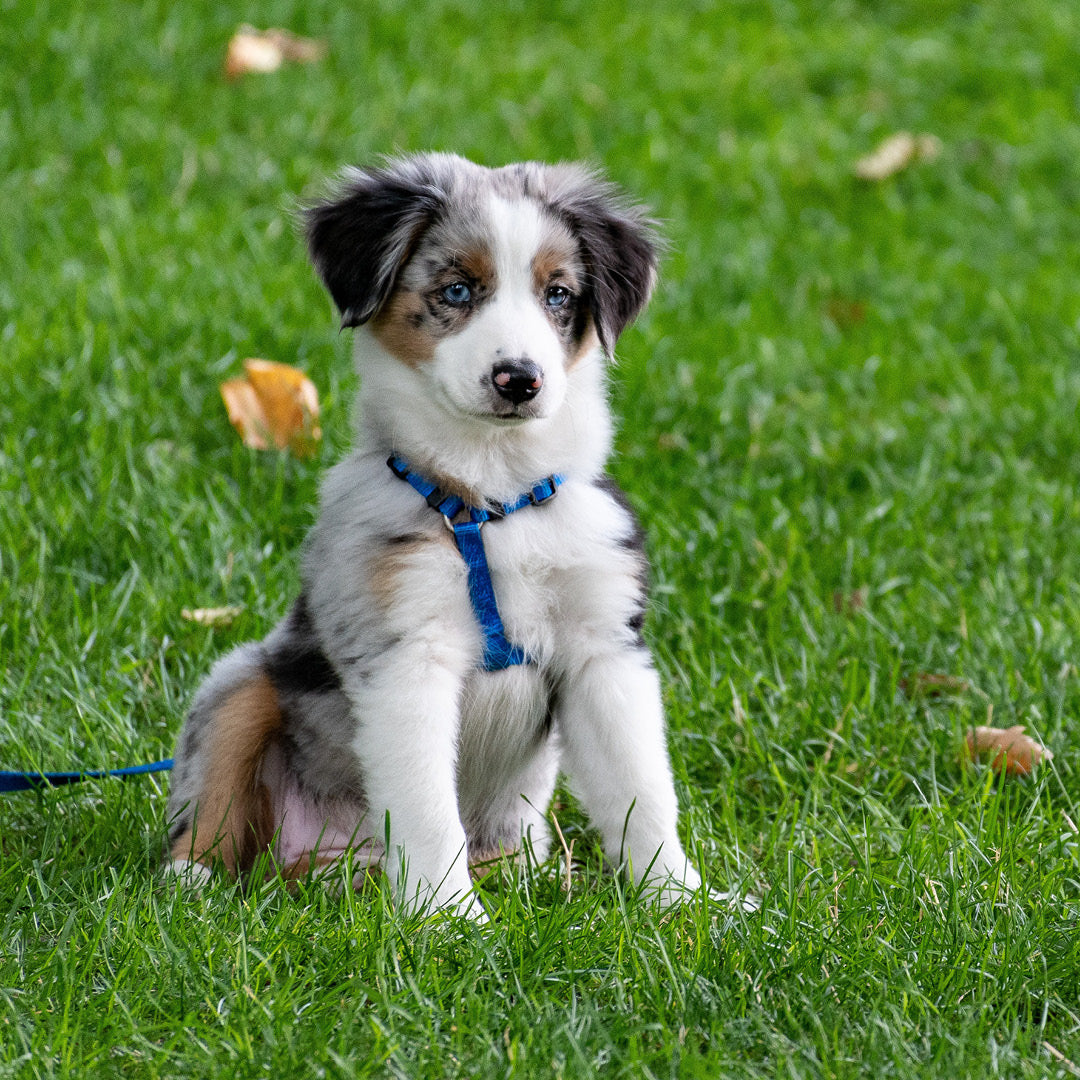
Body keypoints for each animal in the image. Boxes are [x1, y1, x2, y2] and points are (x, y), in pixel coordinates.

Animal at [164, 152, 708, 915]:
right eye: (457, 289)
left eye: (559, 294)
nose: (520, 379)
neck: (495, 499)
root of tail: (328, 864)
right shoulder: (405, 656)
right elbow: (425, 807)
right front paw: (449, 919)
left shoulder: (604, 649)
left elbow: (642, 791)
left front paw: (686, 904)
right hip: (241, 682)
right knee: (211, 804)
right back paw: (194, 884)